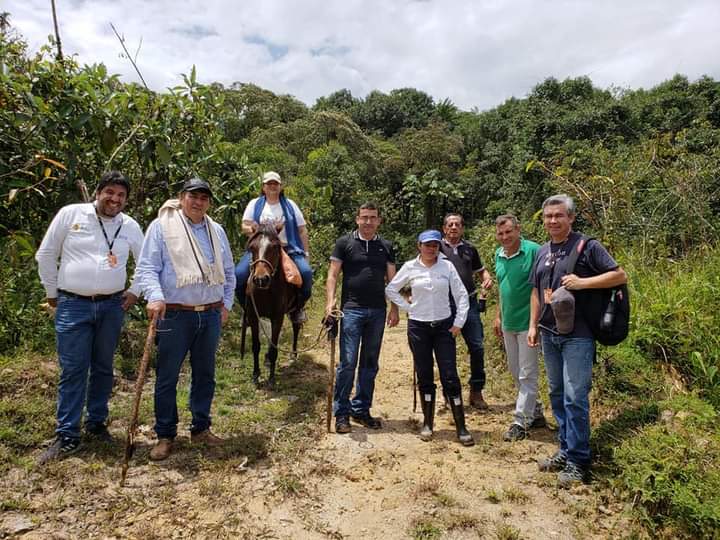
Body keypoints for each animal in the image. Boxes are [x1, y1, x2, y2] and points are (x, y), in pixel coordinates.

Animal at [240, 224, 300, 388]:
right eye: (252, 247)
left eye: (275, 247)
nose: (261, 279)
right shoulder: (253, 316)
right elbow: (256, 346)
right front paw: (255, 375)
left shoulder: (277, 317)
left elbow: (274, 348)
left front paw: (272, 378)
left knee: (296, 327)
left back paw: (293, 354)